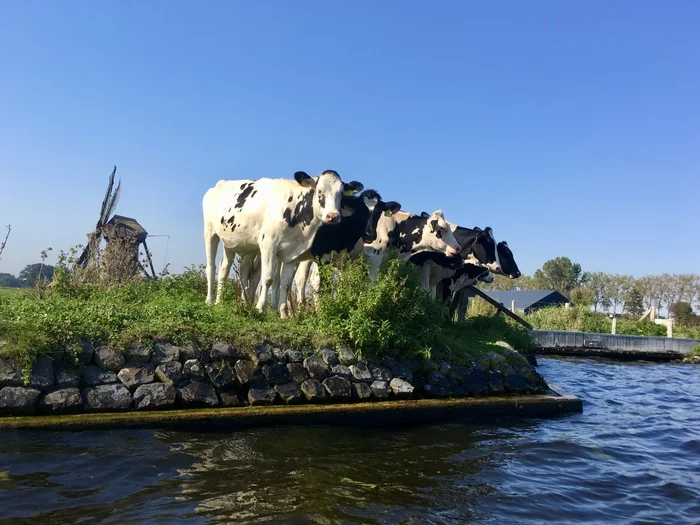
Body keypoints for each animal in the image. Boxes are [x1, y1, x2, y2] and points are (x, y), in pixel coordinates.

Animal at [202, 170, 364, 314]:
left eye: (341, 194)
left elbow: (285, 283)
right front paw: (260, 308)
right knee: (211, 267)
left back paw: (224, 302)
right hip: (210, 233)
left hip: (234, 243)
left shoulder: (292, 252)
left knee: (228, 270)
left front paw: (283, 313)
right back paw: (210, 300)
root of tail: (219, 184)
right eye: (320, 191)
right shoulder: (269, 243)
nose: (333, 216)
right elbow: (268, 278)